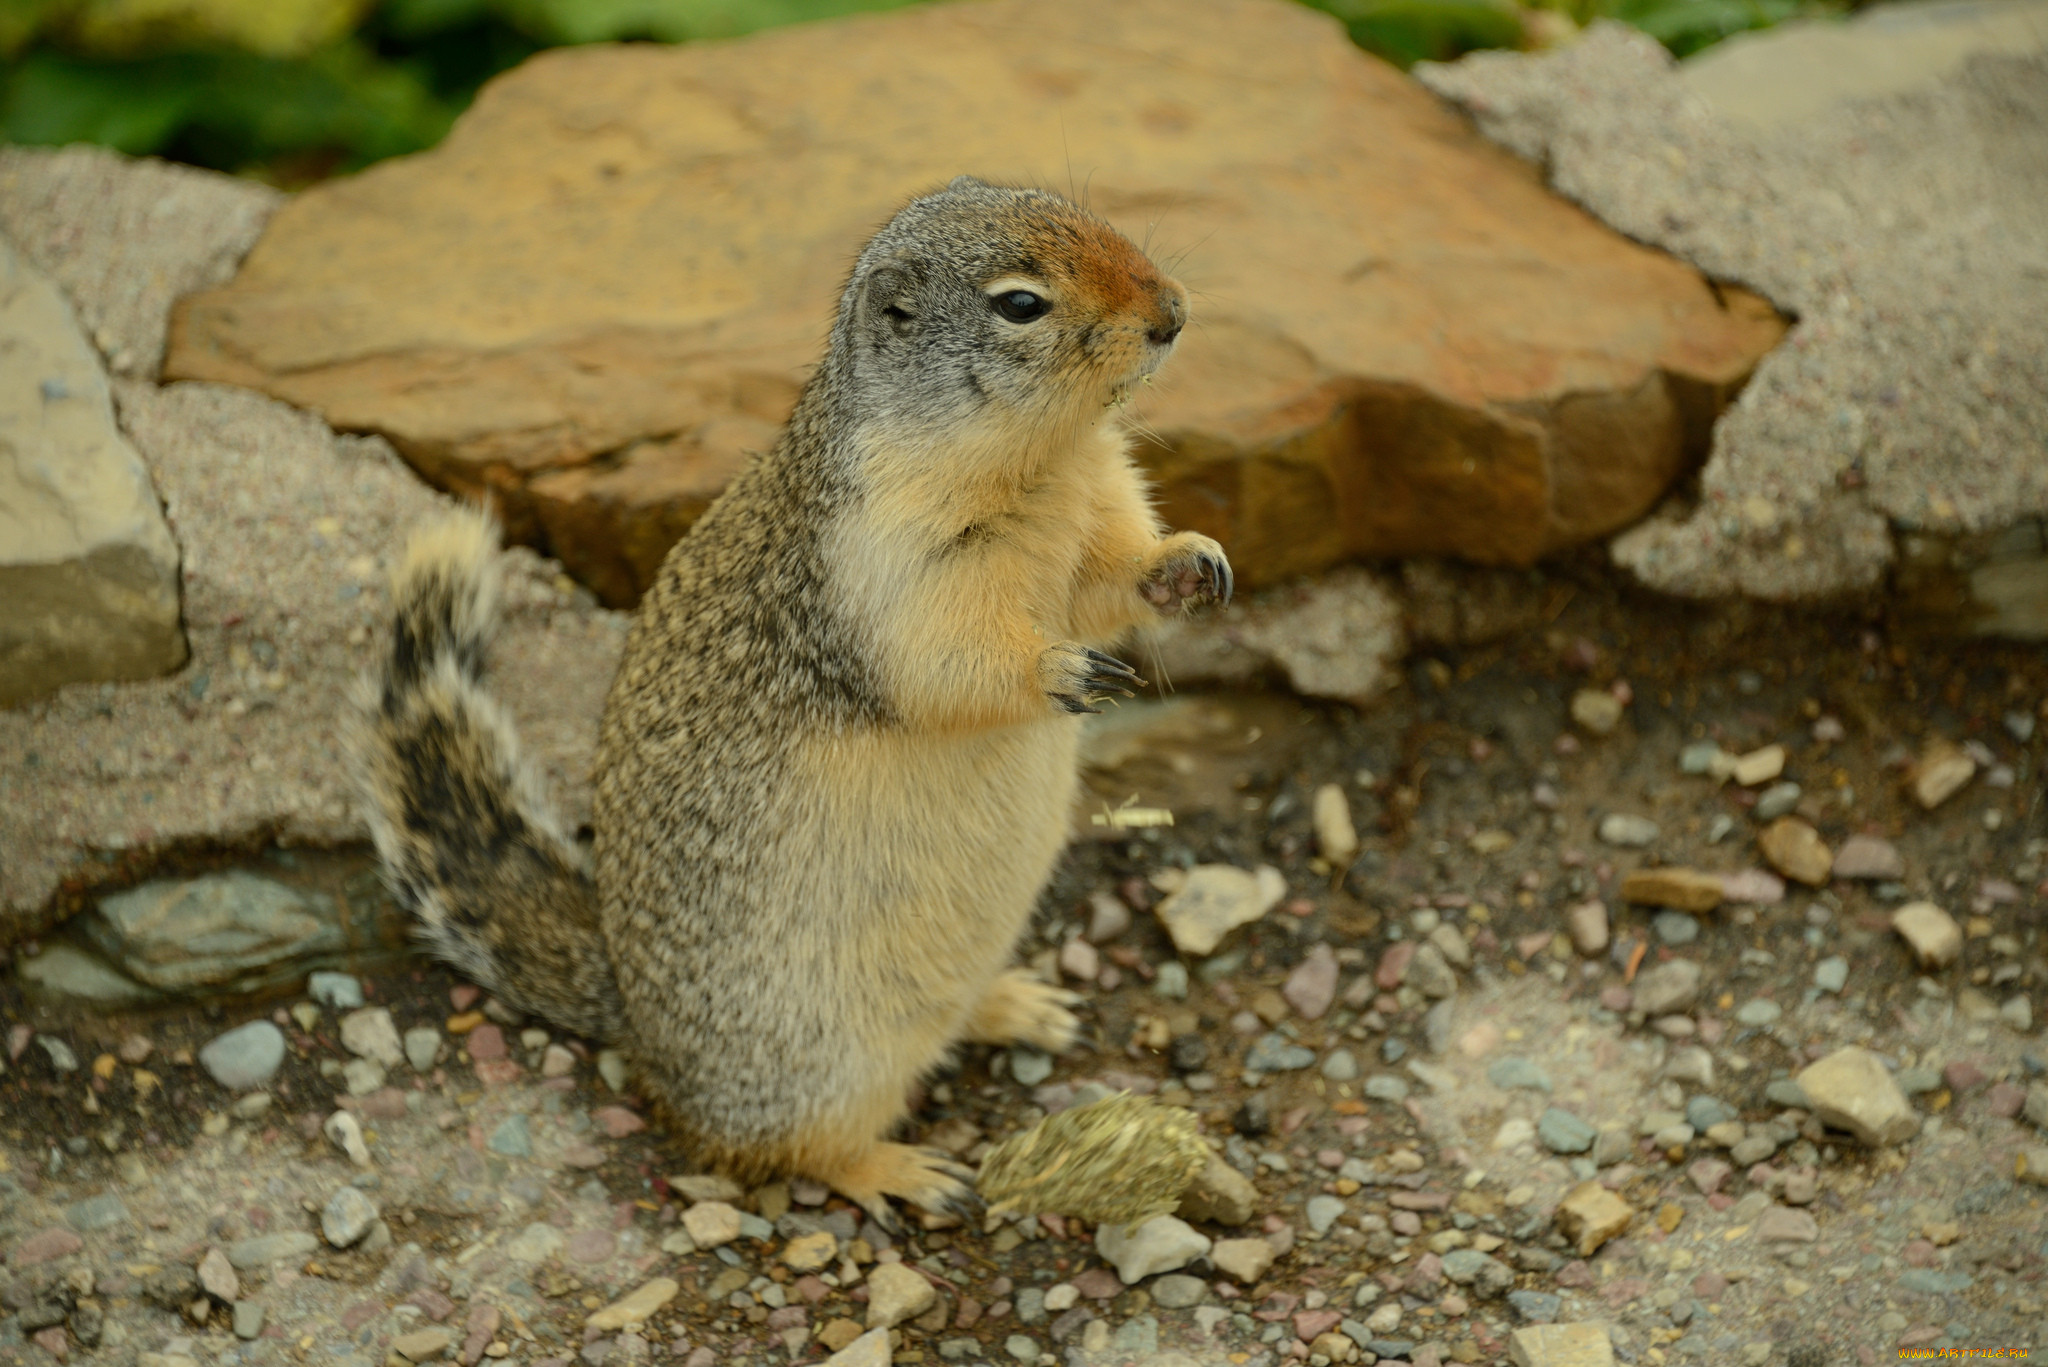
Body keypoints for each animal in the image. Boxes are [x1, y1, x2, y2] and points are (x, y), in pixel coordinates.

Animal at [352, 176, 1228, 1221]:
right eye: (1020, 303)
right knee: (789, 1149)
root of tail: (642, 1032)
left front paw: (1190, 564)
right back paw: (905, 1171)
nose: (1174, 312)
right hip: (821, 1067)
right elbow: (953, 664)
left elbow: (1112, 580)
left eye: (1093, 213)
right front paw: (1059, 670)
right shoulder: (888, 573)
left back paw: (1022, 1004)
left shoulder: (1100, 507)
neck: (1047, 459)